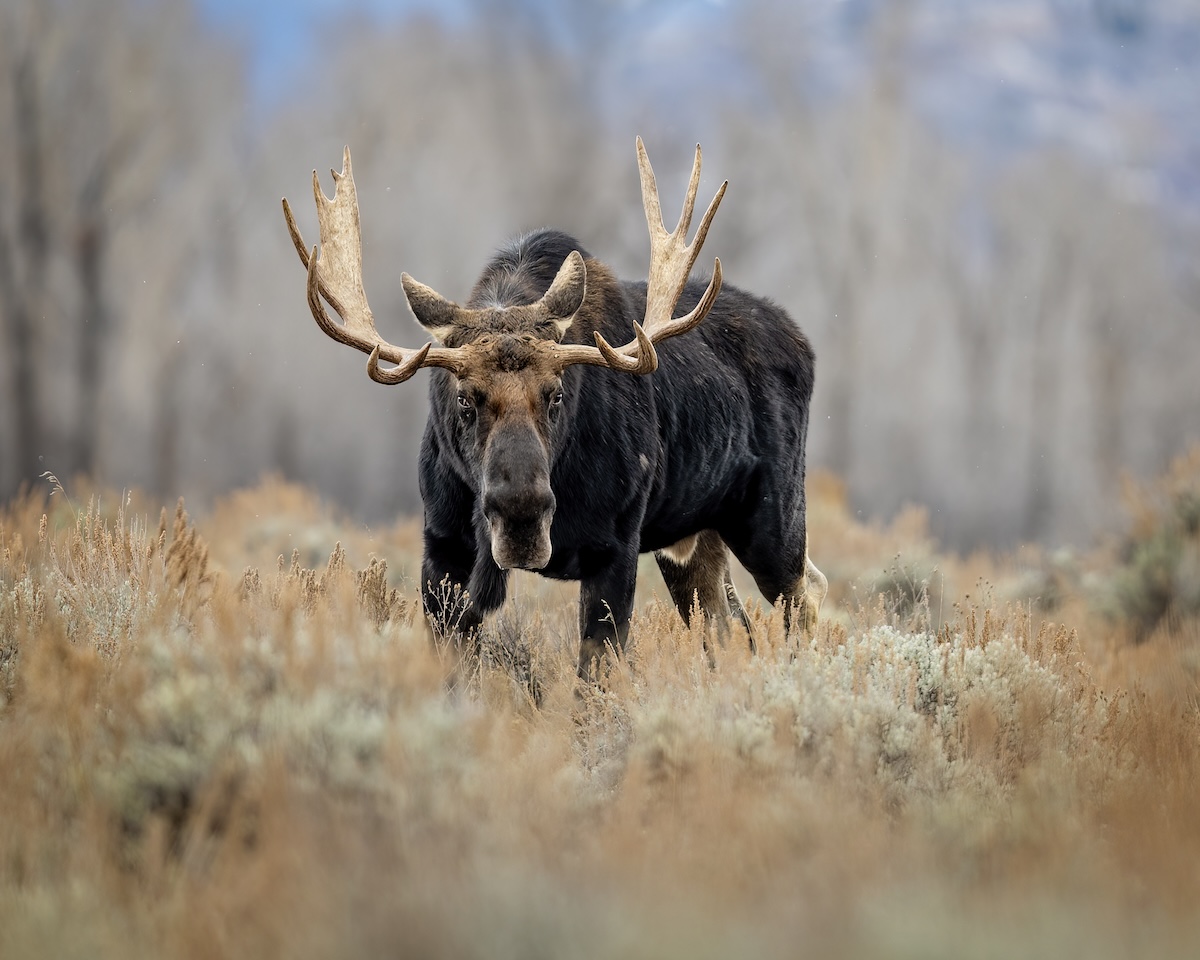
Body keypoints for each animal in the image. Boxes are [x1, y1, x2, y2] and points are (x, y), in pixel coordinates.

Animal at [283, 140, 827, 678]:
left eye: (557, 393)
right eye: (464, 398)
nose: (521, 517)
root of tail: (802, 342)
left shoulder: (615, 547)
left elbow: (595, 677)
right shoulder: (442, 546)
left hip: (772, 517)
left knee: (805, 596)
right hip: (693, 537)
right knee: (730, 626)